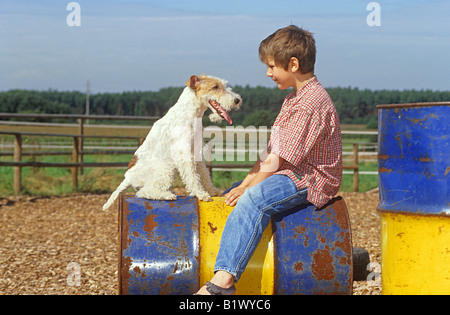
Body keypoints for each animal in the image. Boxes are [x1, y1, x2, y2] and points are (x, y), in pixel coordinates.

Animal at [103, 75, 241, 211]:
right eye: (215, 87)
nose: (237, 100)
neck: (191, 114)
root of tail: (127, 177)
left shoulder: (196, 152)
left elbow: (204, 175)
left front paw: (212, 191)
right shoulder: (184, 153)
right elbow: (193, 177)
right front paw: (201, 194)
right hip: (166, 169)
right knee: (144, 192)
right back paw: (168, 195)